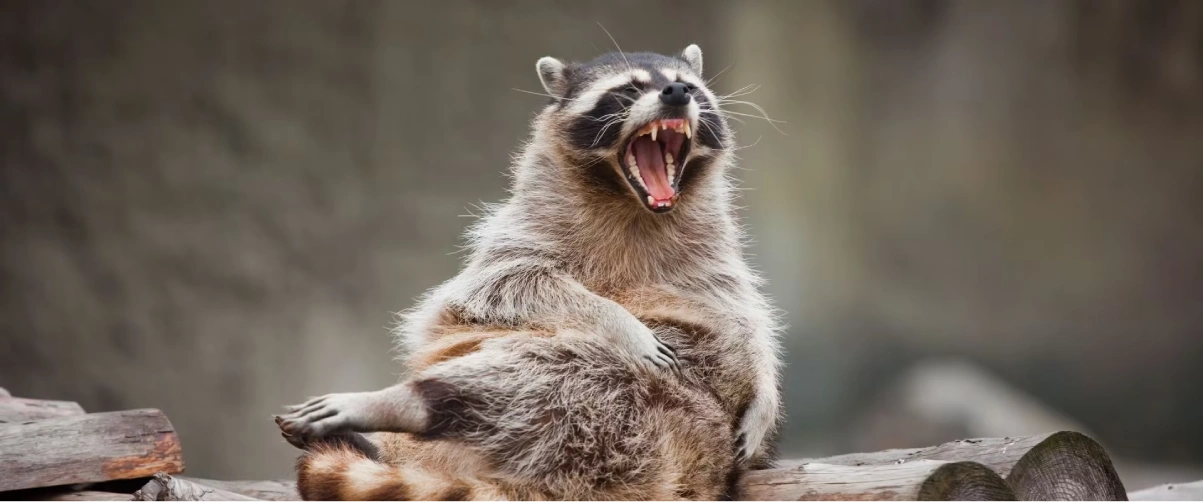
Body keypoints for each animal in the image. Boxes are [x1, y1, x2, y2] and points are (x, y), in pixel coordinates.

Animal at [276, 44, 783, 501]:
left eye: (690, 86)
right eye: (629, 89)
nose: (677, 92)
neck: (634, 203)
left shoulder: (713, 245)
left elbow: (741, 312)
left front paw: (764, 389)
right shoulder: (524, 223)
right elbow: (507, 283)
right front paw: (616, 319)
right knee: (541, 367)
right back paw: (414, 400)